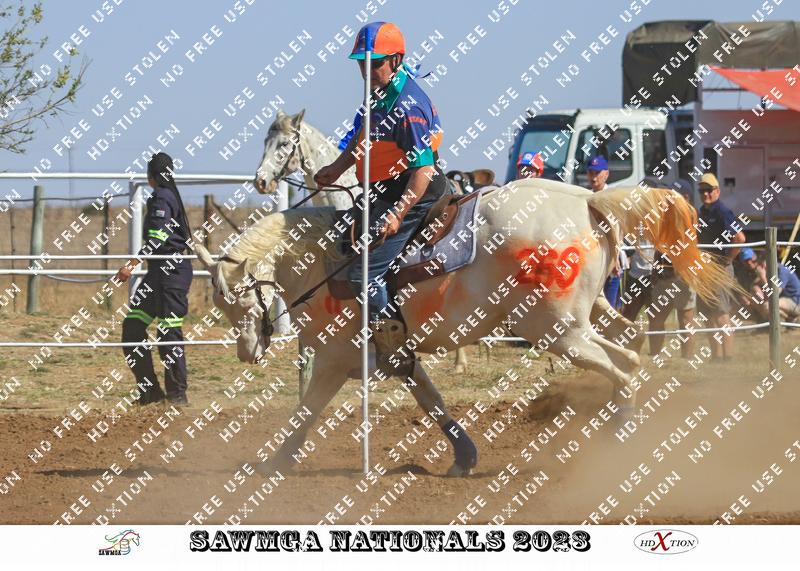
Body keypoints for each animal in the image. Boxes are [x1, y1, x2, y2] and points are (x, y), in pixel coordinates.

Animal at [200, 179, 734, 478]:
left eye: (236, 297)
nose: (247, 351)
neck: (325, 261)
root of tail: (587, 200)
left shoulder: (333, 361)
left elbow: (305, 413)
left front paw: (275, 465)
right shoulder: (400, 356)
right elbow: (432, 402)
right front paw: (463, 456)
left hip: (558, 330)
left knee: (623, 367)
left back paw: (620, 440)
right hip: (590, 316)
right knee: (632, 348)